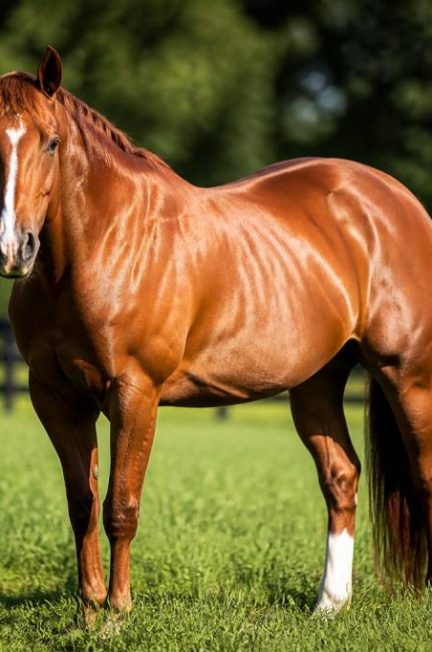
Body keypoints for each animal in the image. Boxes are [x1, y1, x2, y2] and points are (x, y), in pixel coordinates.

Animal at [0, 46, 431, 620]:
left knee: (424, 478)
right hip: (316, 383)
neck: (102, 246)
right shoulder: (56, 398)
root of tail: (400, 202)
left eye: (51, 141)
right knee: (341, 475)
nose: (14, 249)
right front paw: (87, 611)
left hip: (407, 376)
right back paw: (328, 606)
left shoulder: (135, 394)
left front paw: (116, 613)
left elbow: (120, 506)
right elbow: (81, 504)